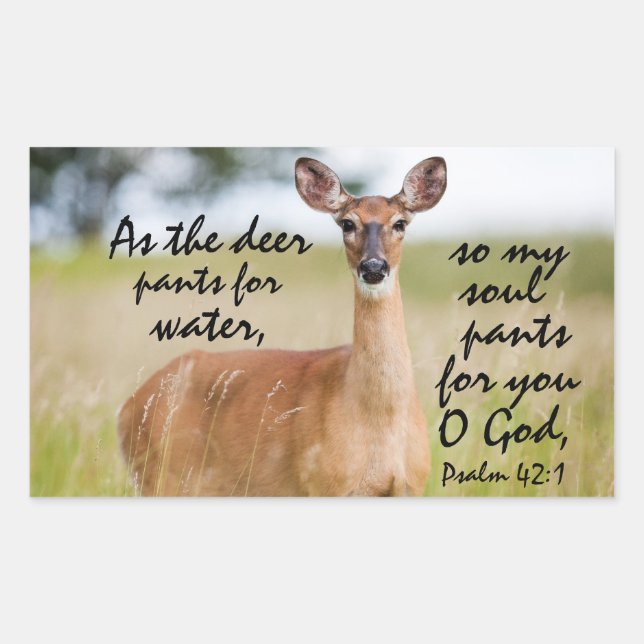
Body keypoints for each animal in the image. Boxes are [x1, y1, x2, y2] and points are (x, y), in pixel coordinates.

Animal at [117, 156, 447, 496]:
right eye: (347, 223)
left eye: (400, 223)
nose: (373, 267)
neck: (380, 420)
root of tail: (126, 409)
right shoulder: (322, 483)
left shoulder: (411, 486)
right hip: (160, 476)